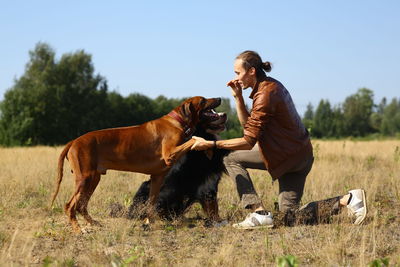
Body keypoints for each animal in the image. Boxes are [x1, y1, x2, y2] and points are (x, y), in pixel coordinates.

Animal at [50, 96, 222, 232]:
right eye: (203, 100)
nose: (220, 98)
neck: (177, 121)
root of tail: (74, 141)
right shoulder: (170, 154)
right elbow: (192, 140)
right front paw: (205, 146)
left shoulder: (157, 177)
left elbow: (151, 202)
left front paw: (148, 222)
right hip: (85, 178)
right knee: (70, 205)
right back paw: (78, 230)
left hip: (93, 179)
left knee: (81, 205)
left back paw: (93, 223)